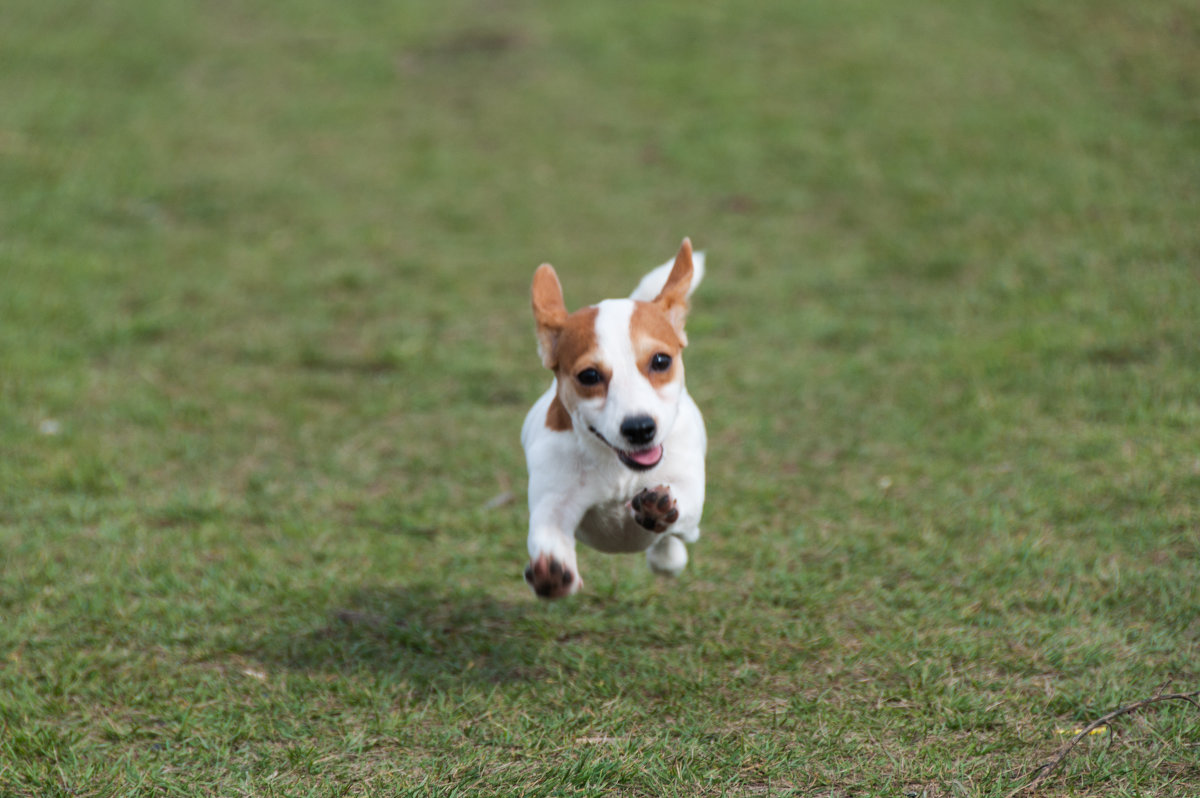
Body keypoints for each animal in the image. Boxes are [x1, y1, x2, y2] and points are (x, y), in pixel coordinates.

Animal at [523, 237, 705, 597]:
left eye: (661, 361)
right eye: (589, 376)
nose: (640, 428)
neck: (623, 470)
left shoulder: (688, 485)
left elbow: (682, 502)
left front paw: (658, 509)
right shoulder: (555, 499)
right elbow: (548, 530)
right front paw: (552, 571)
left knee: (672, 543)